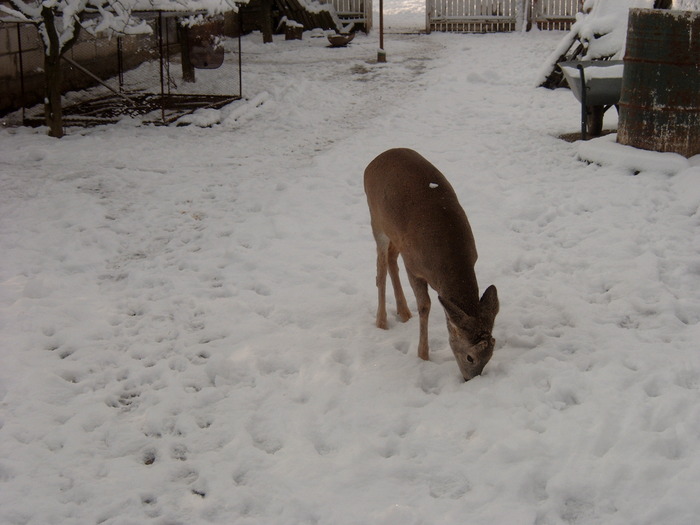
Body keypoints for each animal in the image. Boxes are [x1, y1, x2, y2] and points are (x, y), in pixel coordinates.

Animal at [366, 147, 498, 380]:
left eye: (491, 355)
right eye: (470, 357)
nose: (469, 379)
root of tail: (373, 162)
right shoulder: (413, 265)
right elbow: (425, 305)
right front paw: (423, 355)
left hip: (396, 234)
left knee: (391, 259)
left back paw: (404, 312)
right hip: (376, 220)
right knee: (380, 268)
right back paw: (381, 322)